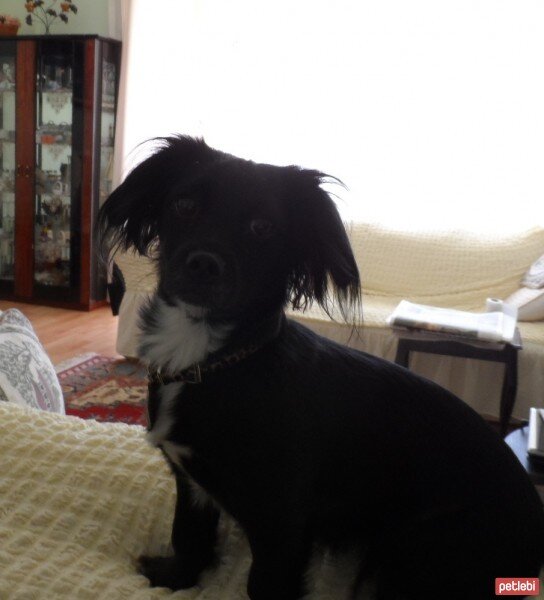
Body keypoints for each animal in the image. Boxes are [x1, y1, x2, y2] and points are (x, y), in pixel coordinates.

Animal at [99, 136, 544, 600]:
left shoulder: (282, 521)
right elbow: (189, 535)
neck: (213, 357)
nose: (204, 263)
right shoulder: (191, 481)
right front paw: (174, 579)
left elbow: (264, 583)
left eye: (262, 228)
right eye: (184, 205)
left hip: (418, 550)